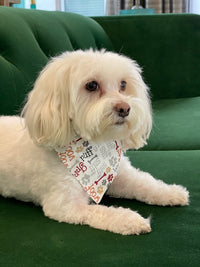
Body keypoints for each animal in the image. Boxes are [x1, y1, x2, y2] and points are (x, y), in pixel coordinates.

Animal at [0, 49, 189, 234]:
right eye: (91, 85)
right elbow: (104, 212)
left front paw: (171, 192)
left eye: (123, 84)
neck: (97, 145)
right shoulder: (66, 205)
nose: (124, 108)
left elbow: (144, 182)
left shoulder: (120, 175)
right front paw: (130, 220)